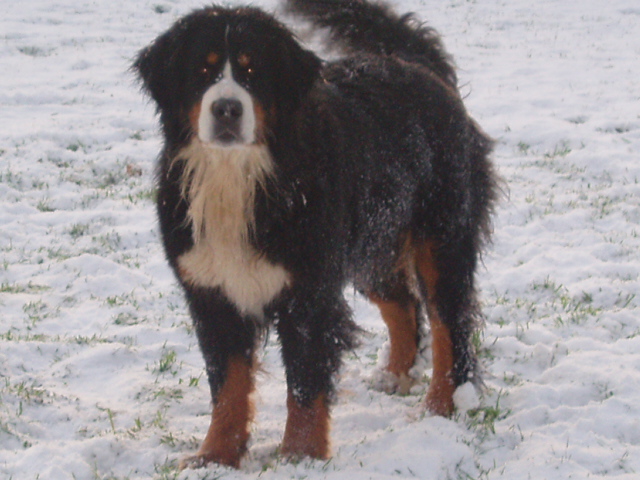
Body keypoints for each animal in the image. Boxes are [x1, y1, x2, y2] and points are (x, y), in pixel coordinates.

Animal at [132, 0, 498, 468]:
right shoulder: (212, 294)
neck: (238, 178)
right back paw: (396, 374)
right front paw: (216, 455)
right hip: (371, 242)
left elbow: (305, 383)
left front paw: (300, 456)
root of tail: (416, 67)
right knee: (403, 305)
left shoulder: (308, 294)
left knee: (450, 324)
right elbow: (228, 385)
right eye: (202, 70)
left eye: (252, 71)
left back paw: (442, 406)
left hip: (440, 241)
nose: (227, 109)